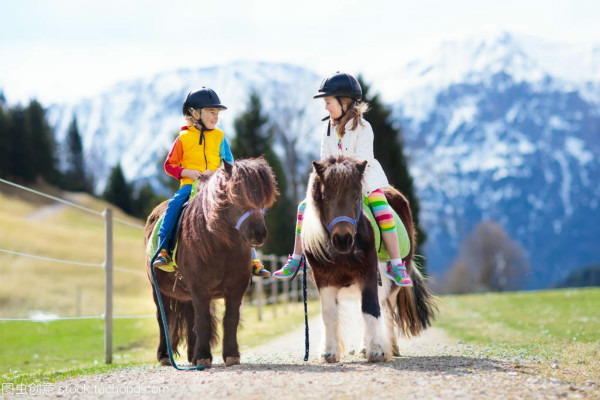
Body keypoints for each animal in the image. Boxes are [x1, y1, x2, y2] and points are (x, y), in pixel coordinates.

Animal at [144, 158, 278, 368]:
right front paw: (203, 356)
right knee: (164, 317)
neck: (222, 247)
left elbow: (230, 318)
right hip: (158, 290)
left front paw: (230, 354)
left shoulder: (236, 287)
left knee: (190, 318)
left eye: (264, 198)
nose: (258, 234)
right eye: (236, 192)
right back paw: (165, 355)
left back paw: (192, 356)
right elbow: (203, 320)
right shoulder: (200, 288)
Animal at [304, 155, 436, 362]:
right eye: (325, 197)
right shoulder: (324, 279)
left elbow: (371, 309)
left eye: (357, 196)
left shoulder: (369, 274)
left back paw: (389, 346)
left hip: (391, 285)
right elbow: (329, 314)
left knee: (387, 310)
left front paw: (376, 350)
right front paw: (329, 352)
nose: (343, 239)